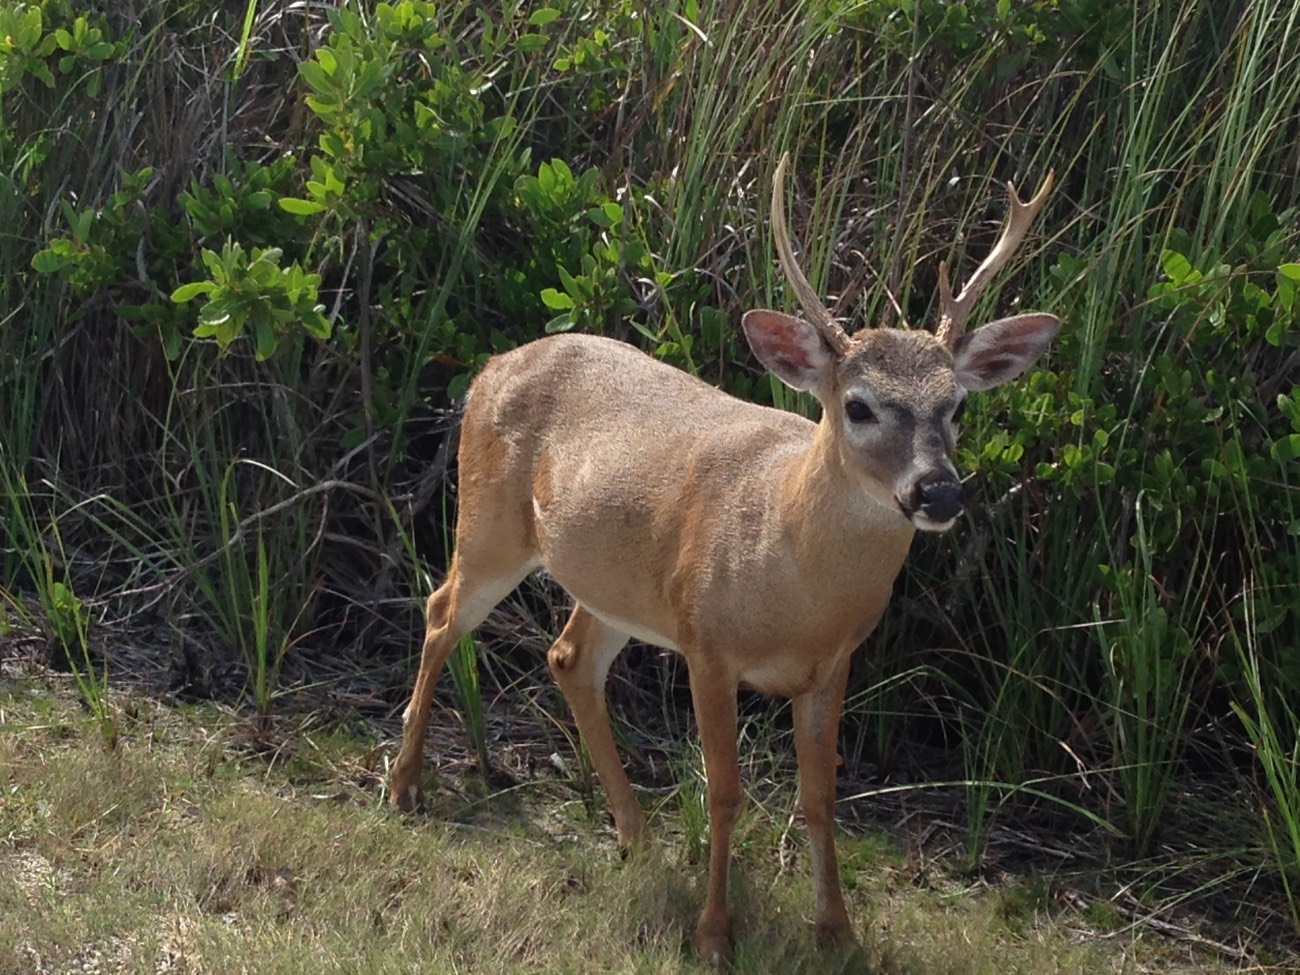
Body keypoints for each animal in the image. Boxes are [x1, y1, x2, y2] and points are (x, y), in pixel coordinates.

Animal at [390, 154, 1060, 972]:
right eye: (859, 405)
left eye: (957, 404)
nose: (938, 490)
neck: (794, 581)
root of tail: (493, 364)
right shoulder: (707, 644)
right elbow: (725, 790)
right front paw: (714, 933)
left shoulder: (833, 663)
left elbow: (819, 797)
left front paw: (837, 930)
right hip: (490, 522)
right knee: (442, 610)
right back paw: (406, 786)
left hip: (616, 584)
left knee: (568, 655)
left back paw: (637, 841)